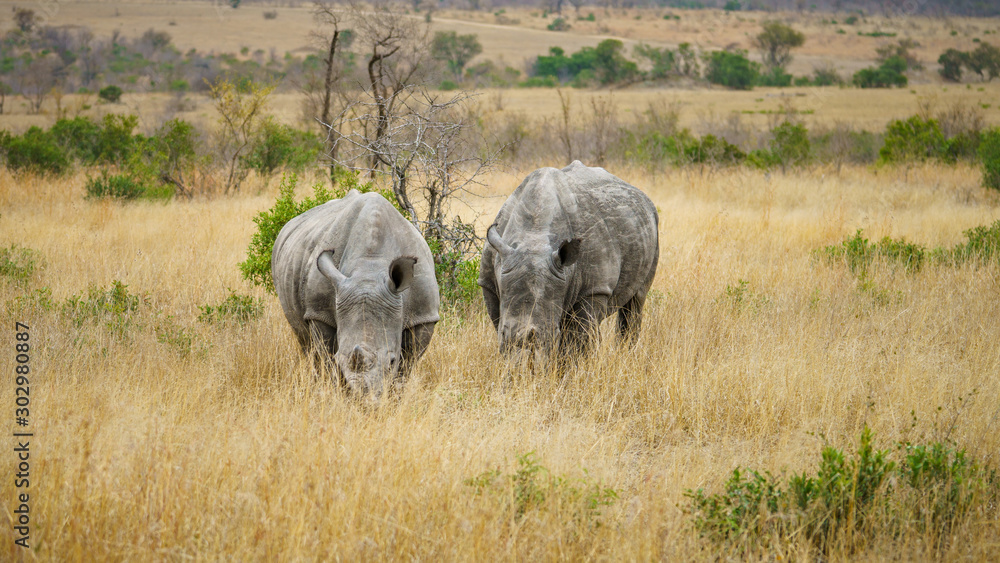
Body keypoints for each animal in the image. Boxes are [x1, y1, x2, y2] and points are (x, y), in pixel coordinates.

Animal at [271, 190, 439, 401]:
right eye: (339, 359)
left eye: (391, 361)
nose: (364, 401)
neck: (370, 267)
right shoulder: (319, 312)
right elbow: (327, 360)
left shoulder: (423, 315)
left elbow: (407, 364)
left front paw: (394, 398)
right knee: (306, 344)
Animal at [479, 161, 658, 358]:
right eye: (503, 334)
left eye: (553, 333)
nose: (524, 365)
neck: (534, 235)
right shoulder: (489, 283)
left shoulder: (594, 289)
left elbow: (576, 339)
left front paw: (570, 365)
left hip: (652, 226)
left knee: (636, 301)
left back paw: (624, 353)